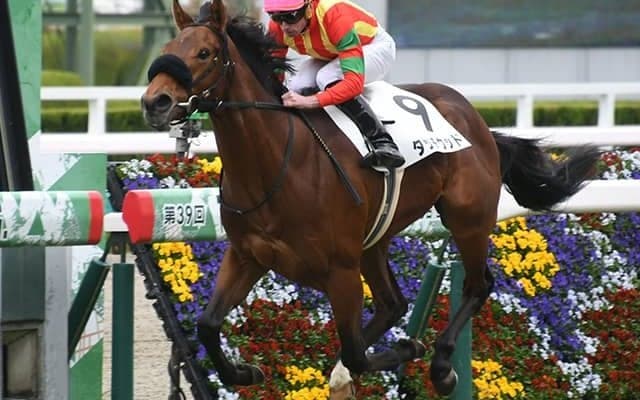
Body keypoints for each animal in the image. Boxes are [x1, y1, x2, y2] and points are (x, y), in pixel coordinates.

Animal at [141, 0, 600, 396]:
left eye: (204, 53)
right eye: (167, 50)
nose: (154, 102)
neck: (277, 164)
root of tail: (477, 121)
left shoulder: (340, 270)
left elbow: (357, 353)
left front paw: (408, 348)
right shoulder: (247, 255)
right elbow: (207, 324)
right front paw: (244, 371)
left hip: (467, 218)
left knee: (477, 284)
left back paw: (441, 366)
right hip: (373, 241)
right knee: (393, 304)